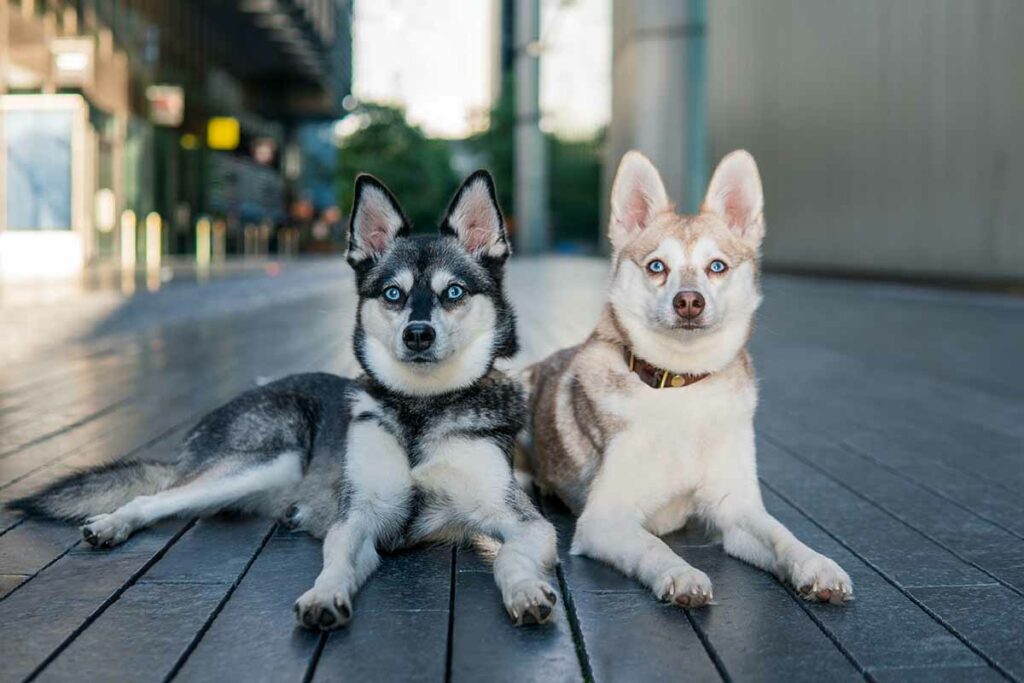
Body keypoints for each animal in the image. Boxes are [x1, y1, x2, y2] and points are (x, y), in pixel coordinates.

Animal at [12, 171, 561, 630]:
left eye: (453, 293)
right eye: (392, 294)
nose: (418, 335)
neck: (419, 409)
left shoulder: (522, 521)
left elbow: (511, 554)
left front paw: (526, 589)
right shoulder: (358, 518)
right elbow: (336, 561)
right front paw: (324, 596)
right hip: (271, 458)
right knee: (155, 496)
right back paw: (113, 523)